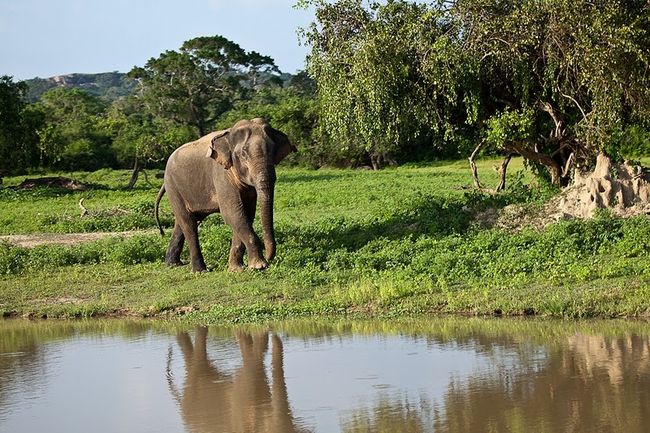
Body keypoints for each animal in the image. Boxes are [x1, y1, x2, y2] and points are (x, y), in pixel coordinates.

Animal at [155, 118, 296, 272]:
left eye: (273, 151)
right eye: (243, 154)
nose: (269, 256)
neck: (228, 135)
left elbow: (246, 214)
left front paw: (236, 269)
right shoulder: (220, 174)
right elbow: (232, 213)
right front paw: (259, 266)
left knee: (182, 223)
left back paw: (173, 264)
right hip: (173, 187)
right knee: (188, 222)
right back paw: (200, 270)